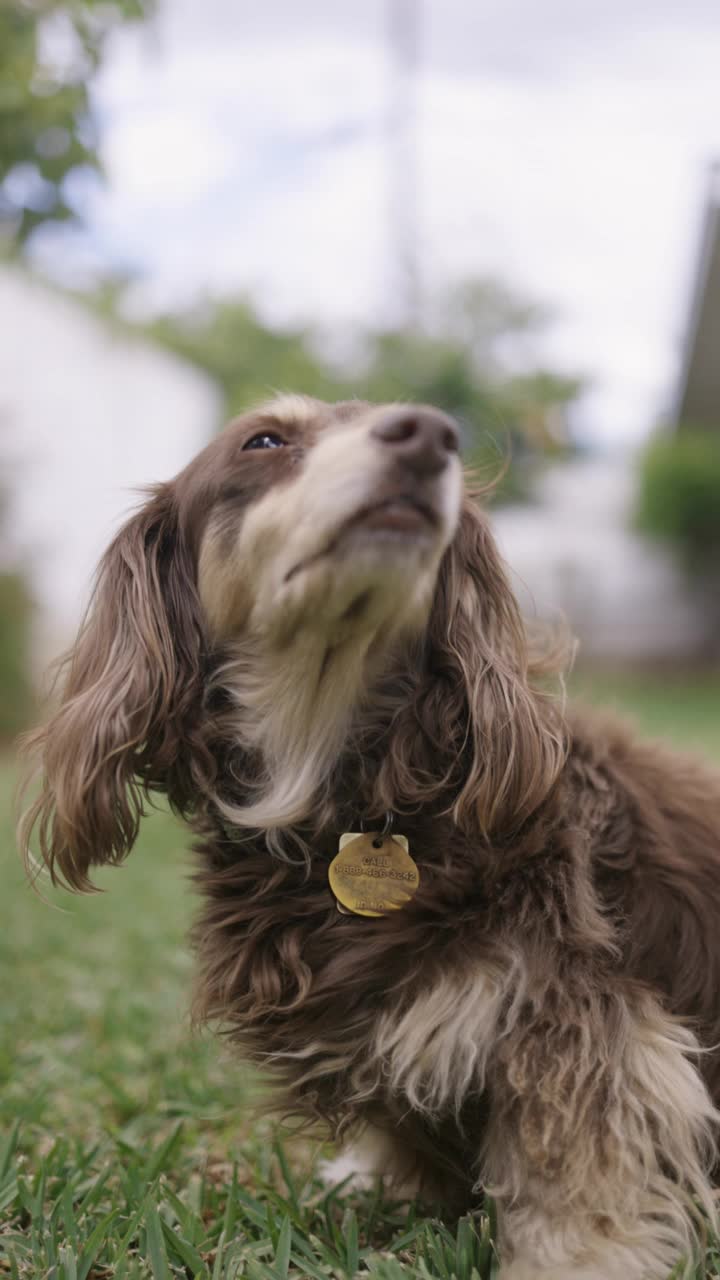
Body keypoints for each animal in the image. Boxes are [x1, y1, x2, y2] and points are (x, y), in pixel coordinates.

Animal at [18, 394, 720, 1274]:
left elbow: (573, 1160)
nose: (429, 434)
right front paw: (387, 1183)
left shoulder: (577, 1012)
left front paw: (574, 1260)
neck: (349, 797)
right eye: (264, 440)